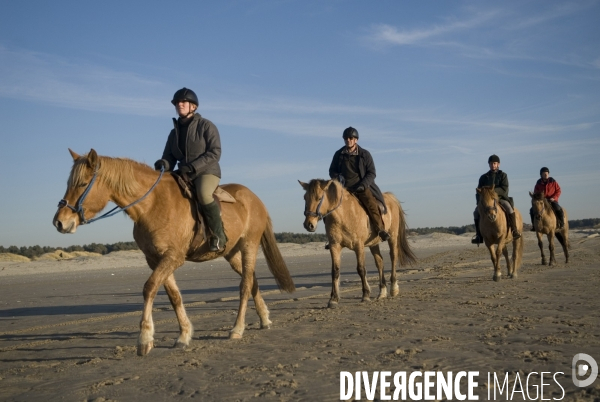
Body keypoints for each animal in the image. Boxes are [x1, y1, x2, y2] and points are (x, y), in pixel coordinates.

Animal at [54, 150, 296, 354]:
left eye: (82, 183)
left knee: (245, 285)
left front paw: (145, 339)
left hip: (249, 246)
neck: (152, 206)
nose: (59, 222)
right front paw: (184, 335)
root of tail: (254, 198)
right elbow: (174, 296)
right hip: (232, 253)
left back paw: (237, 328)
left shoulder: (173, 257)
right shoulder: (156, 260)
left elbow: (149, 288)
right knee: (252, 280)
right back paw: (264, 319)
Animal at [298, 179, 414, 308]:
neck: (343, 215)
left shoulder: (359, 246)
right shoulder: (335, 246)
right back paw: (382, 292)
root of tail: (390, 197)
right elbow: (335, 271)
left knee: (393, 257)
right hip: (374, 243)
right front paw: (333, 299)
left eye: (319, 198)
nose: (308, 224)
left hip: (392, 236)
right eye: (305, 197)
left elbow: (361, 269)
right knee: (379, 262)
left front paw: (366, 295)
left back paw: (393, 288)